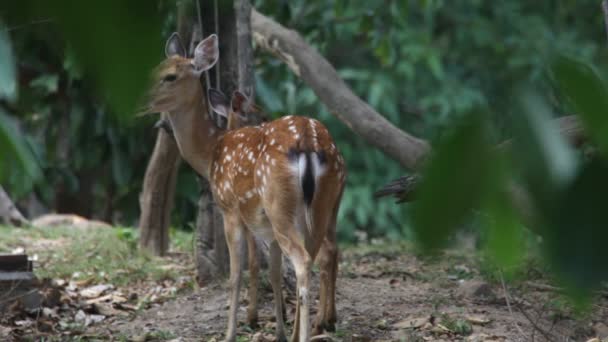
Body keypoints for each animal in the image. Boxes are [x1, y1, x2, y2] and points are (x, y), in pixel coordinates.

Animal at [140, 32, 344, 342]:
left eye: (171, 76)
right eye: (154, 70)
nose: (140, 100)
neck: (211, 151)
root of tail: (309, 143)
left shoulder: (230, 208)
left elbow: (237, 274)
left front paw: (231, 333)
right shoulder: (265, 226)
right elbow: (273, 272)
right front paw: (279, 332)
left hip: (279, 205)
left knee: (304, 260)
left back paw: (311, 330)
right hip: (322, 205)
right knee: (320, 253)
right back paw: (315, 326)